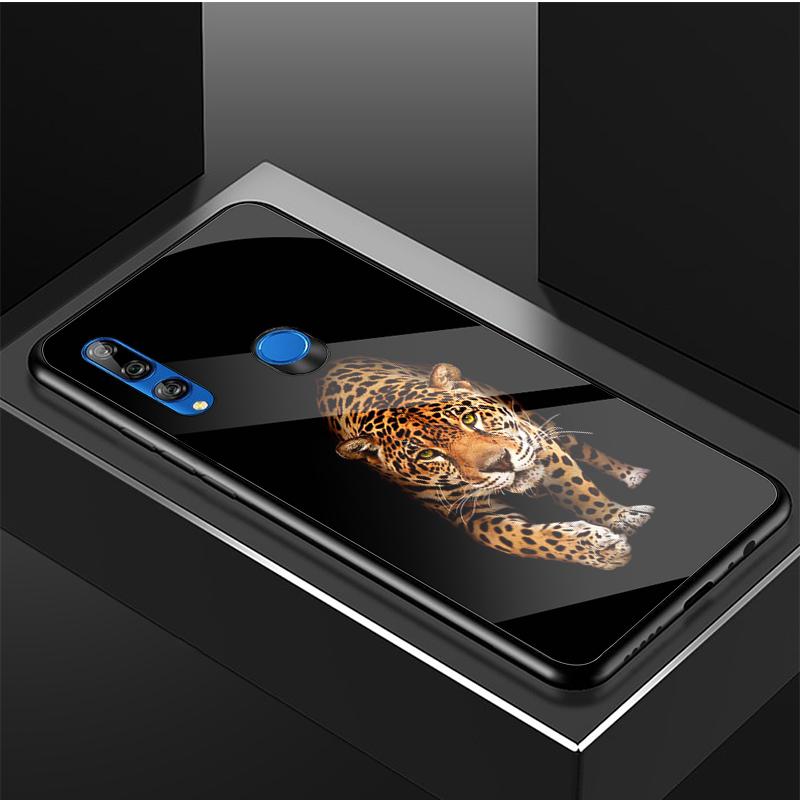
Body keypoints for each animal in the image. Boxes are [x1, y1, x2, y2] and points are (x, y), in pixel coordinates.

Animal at [318, 357, 654, 570]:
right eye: (427, 455)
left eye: (469, 419)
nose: (500, 463)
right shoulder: (472, 514)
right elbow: (523, 539)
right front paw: (601, 549)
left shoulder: (536, 442)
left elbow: (578, 490)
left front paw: (619, 517)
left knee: (584, 449)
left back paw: (634, 474)